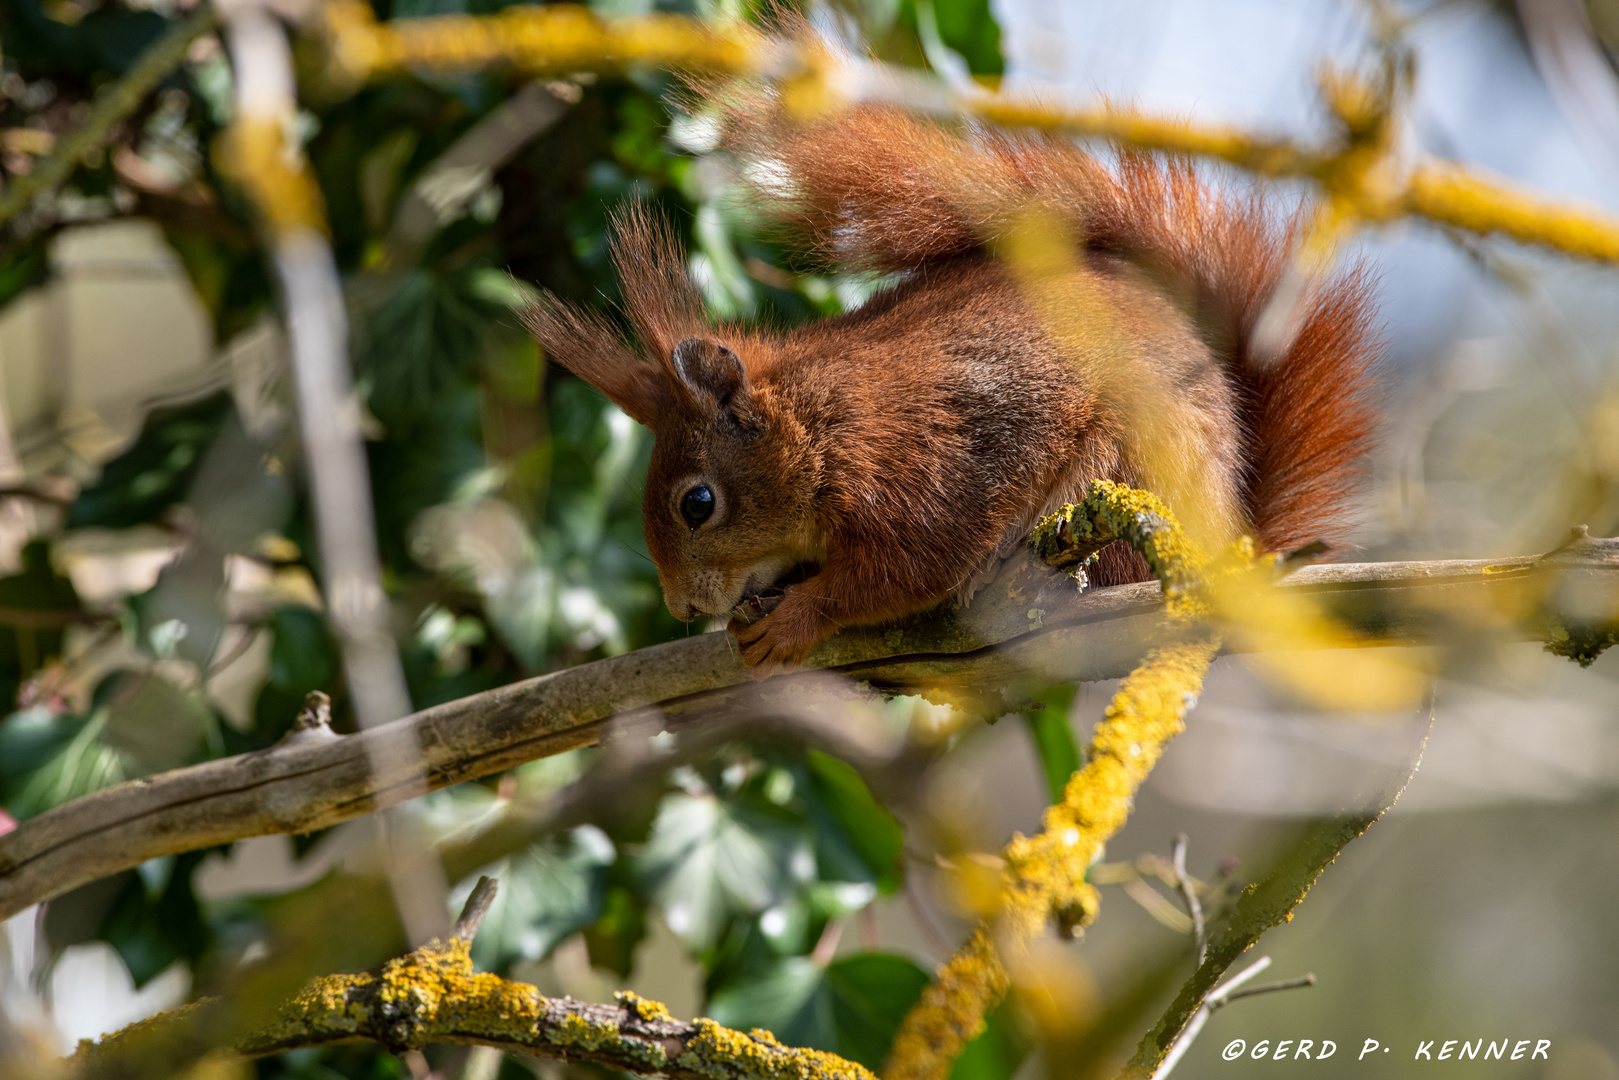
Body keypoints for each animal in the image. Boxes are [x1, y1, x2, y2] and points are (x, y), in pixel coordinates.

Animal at [521, 103, 1379, 676]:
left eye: (696, 504)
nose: (681, 609)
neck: (821, 425)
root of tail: (1225, 534)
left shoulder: (928, 473)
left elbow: (906, 571)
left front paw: (799, 616)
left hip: (1124, 460)